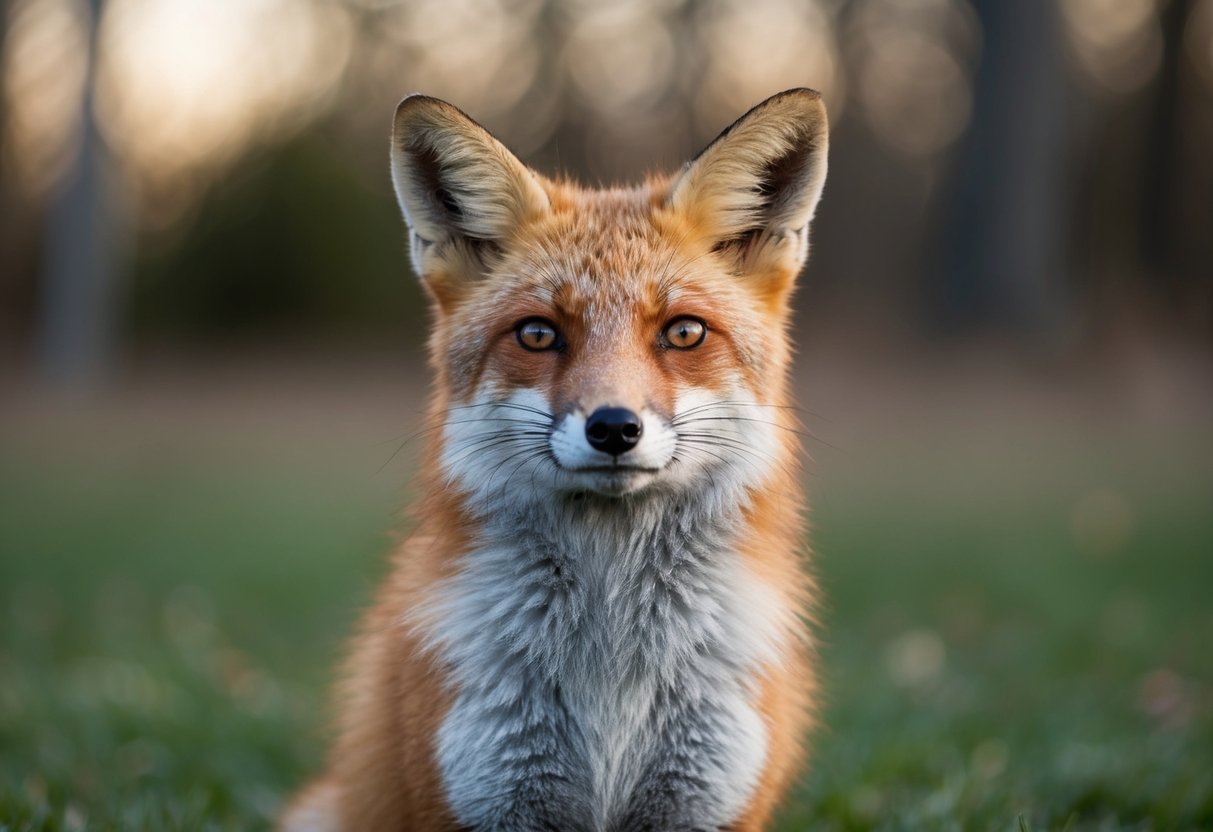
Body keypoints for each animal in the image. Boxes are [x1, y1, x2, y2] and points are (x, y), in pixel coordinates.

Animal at [282, 88, 829, 831]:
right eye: (538, 334)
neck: (610, 679)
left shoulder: (705, 801)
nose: (614, 427)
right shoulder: (490, 794)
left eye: (684, 332)